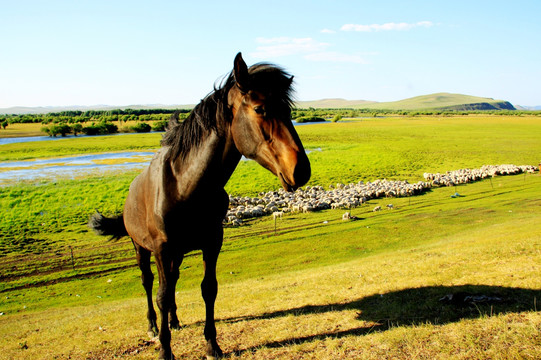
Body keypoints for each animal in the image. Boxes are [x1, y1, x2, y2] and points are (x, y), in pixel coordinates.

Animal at [87, 52, 308, 358]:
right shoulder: (162, 249)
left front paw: (212, 344)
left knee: (173, 280)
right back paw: (154, 327)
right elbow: (161, 296)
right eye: (260, 108)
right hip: (141, 248)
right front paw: (165, 350)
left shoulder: (212, 242)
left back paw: (174, 321)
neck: (185, 185)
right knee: (148, 283)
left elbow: (208, 289)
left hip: (177, 254)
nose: (301, 170)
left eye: (288, 111)